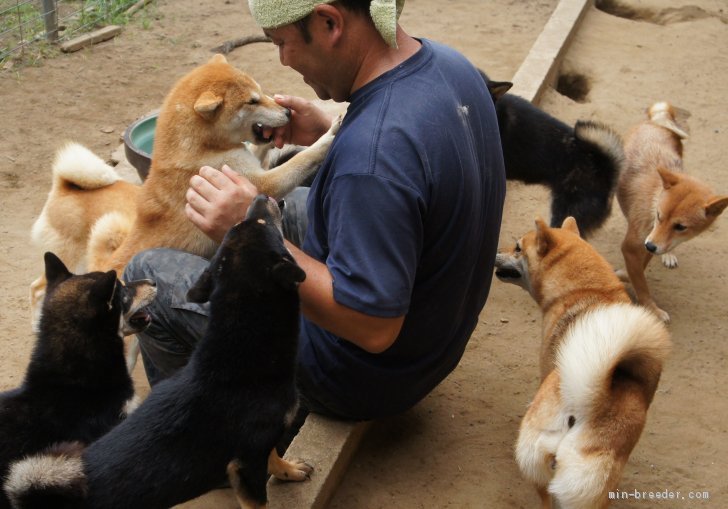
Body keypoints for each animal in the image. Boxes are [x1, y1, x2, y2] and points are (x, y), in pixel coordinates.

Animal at [616, 101, 728, 320]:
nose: (650, 246)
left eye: (681, 227)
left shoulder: (650, 243)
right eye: (659, 216)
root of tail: (655, 123)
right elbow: (641, 283)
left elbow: (640, 270)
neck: (654, 199)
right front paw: (651, 308)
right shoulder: (634, 245)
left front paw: (627, 276)